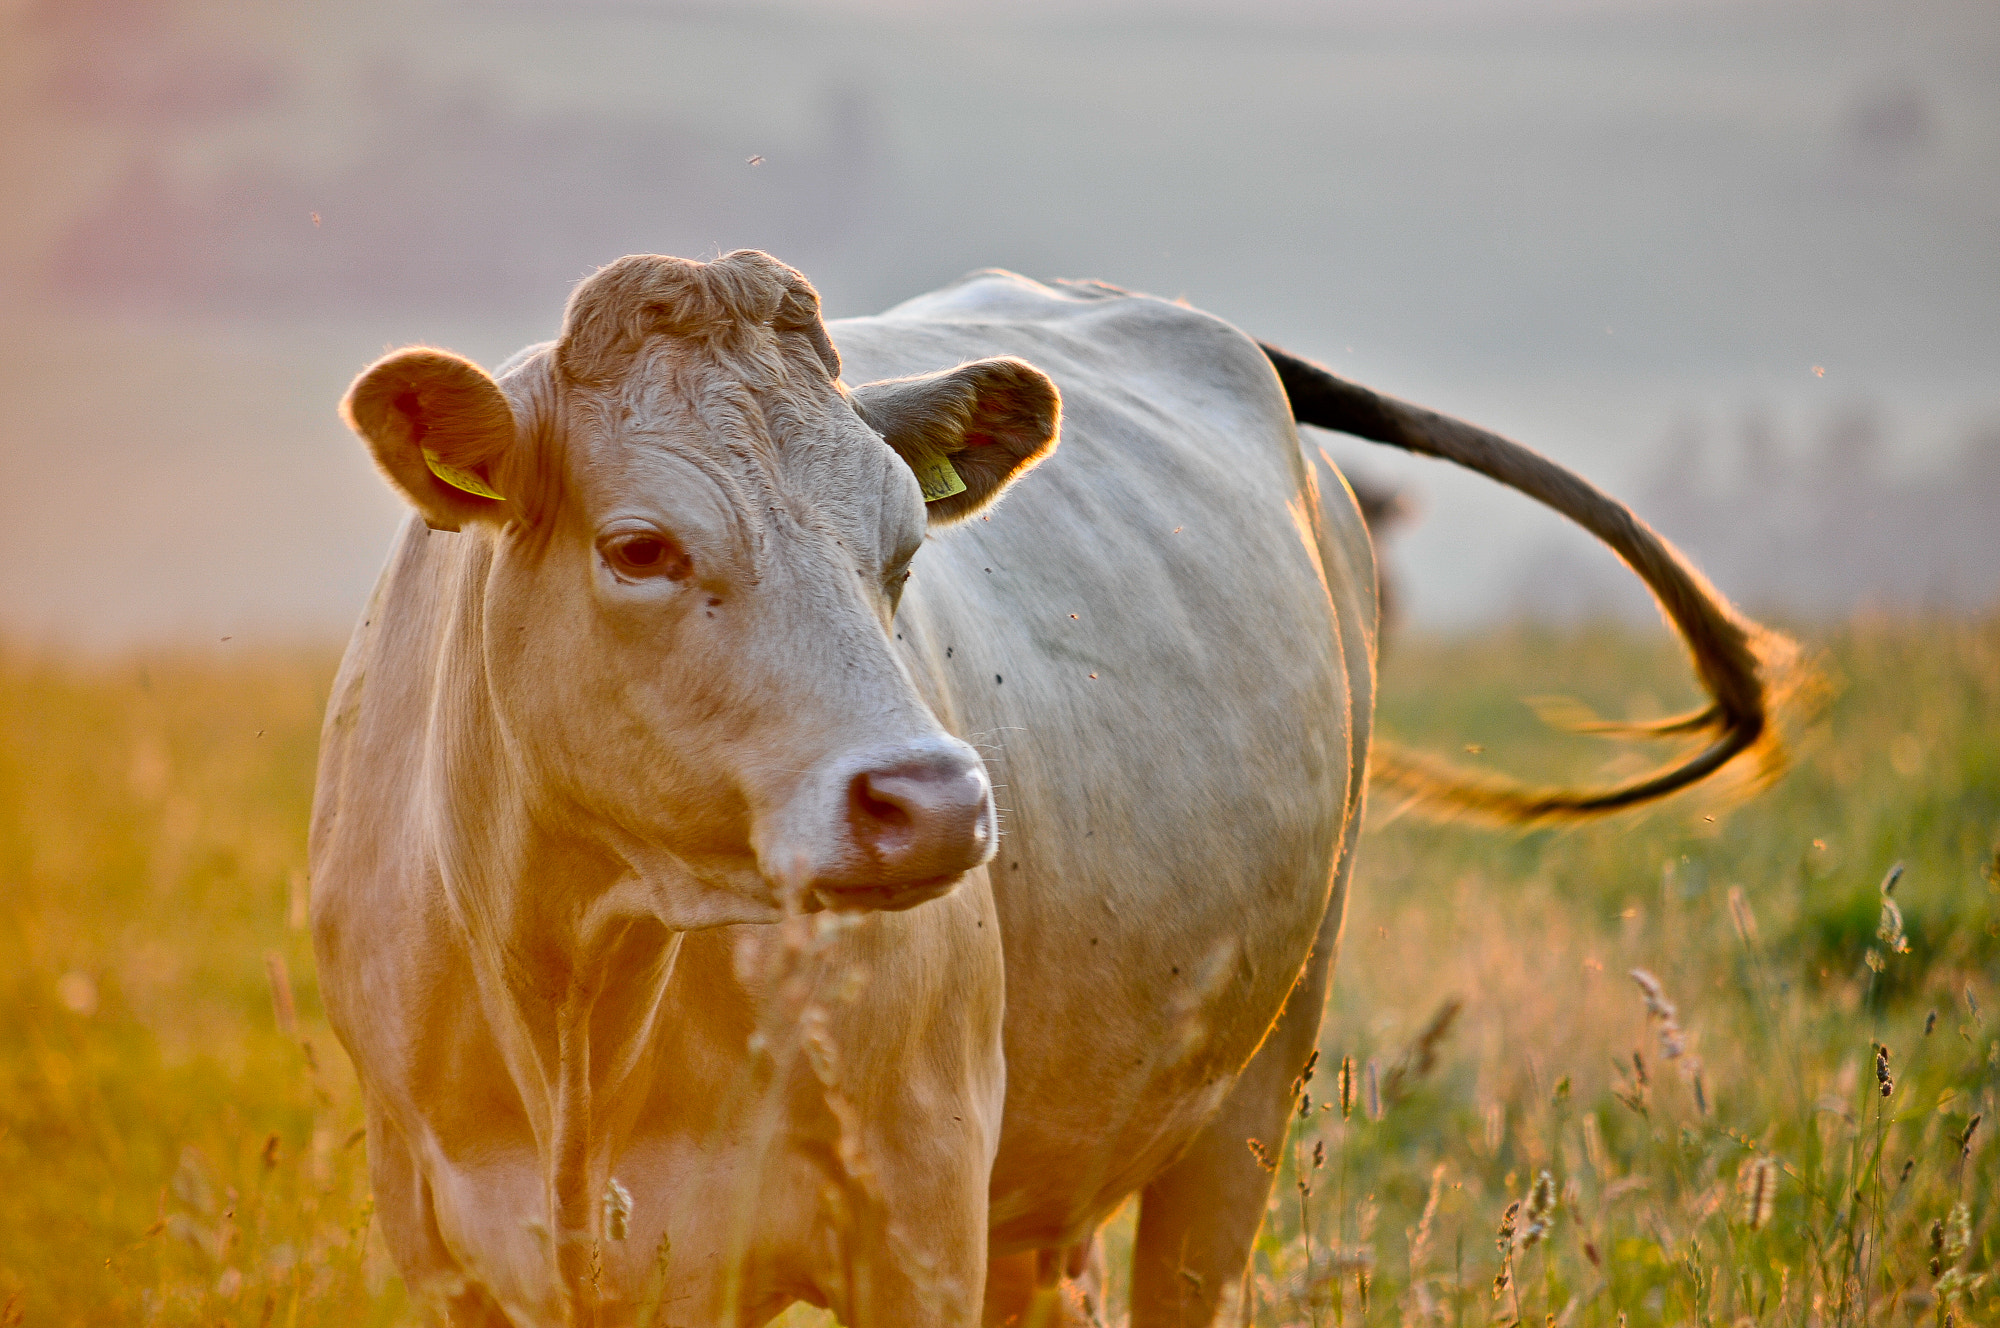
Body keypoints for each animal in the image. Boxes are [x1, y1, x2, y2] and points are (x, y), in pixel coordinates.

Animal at [316, 252, 1784, 1328]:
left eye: (904, 544)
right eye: (638, 548)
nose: (931, 799)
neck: (573, 997)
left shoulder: (916, 1218)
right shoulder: (442, 1240)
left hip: (1248, 1094)